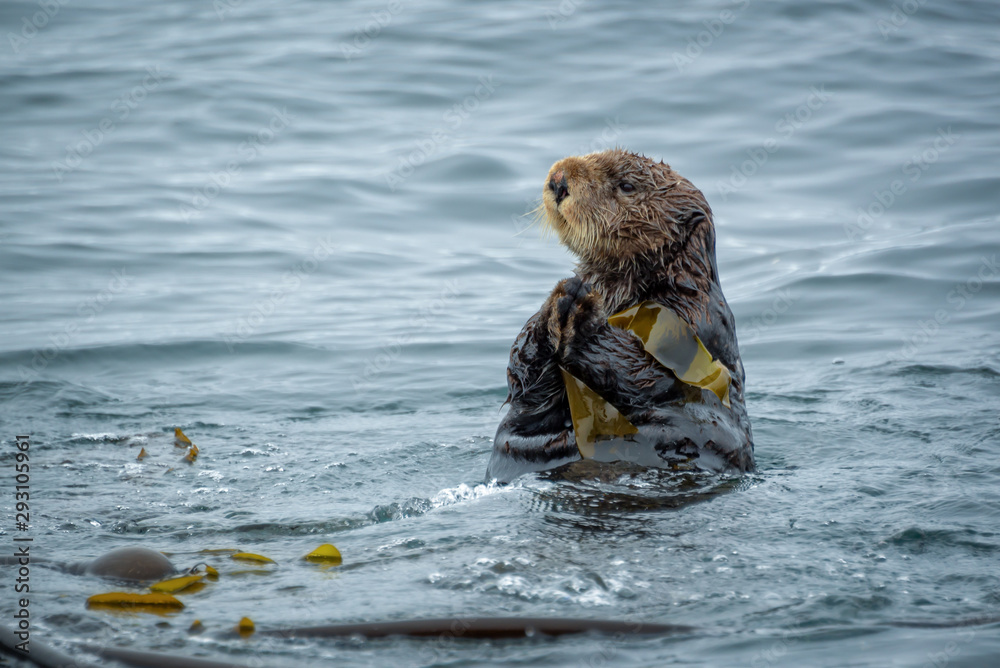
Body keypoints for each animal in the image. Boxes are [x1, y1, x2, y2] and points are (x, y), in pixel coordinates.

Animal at [486, 149, 753, 483]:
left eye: (626, 186)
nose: (558, 179)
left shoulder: (693, 319)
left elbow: (647, 372)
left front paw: (584, 315)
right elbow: (525, 377)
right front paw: (557, 301)